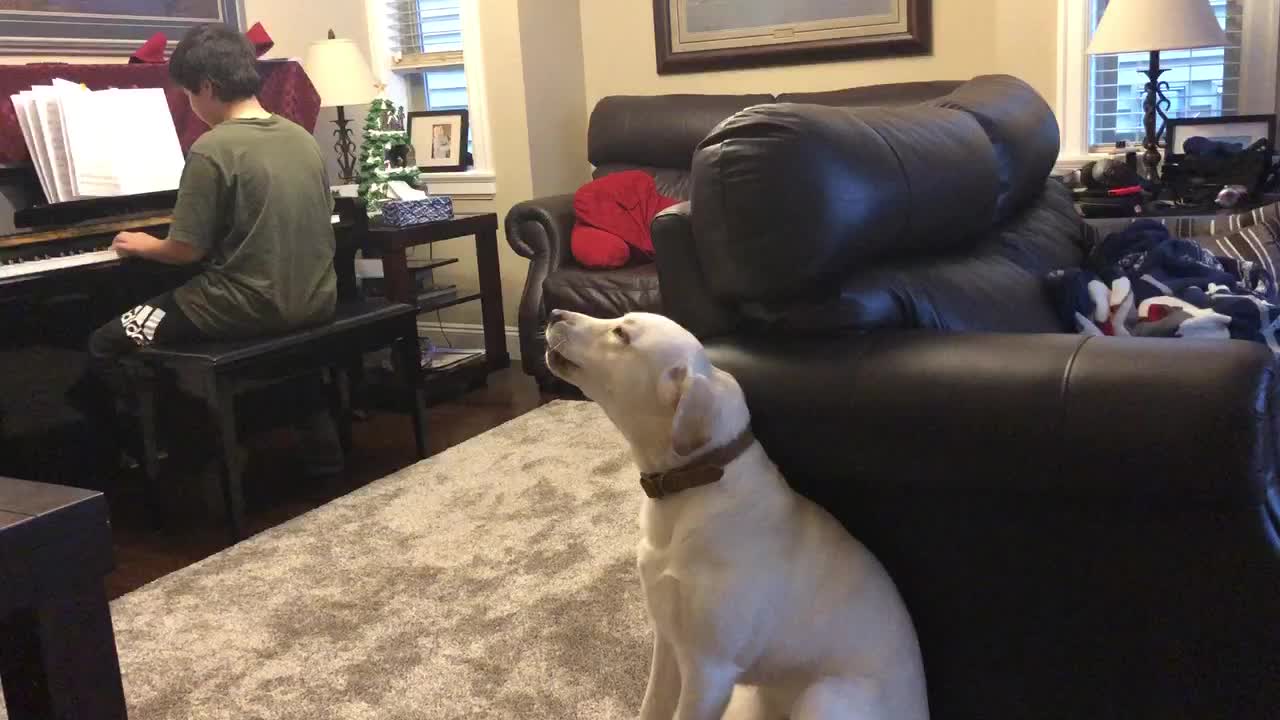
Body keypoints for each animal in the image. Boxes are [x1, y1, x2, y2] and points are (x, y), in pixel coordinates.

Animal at [542, 310, 931, 717]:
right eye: (619, 320)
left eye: (621, 334)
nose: (553, 313)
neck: (691, 486)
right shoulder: (667, 641)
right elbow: (652, 707)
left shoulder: (709, 671)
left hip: (824, 698)